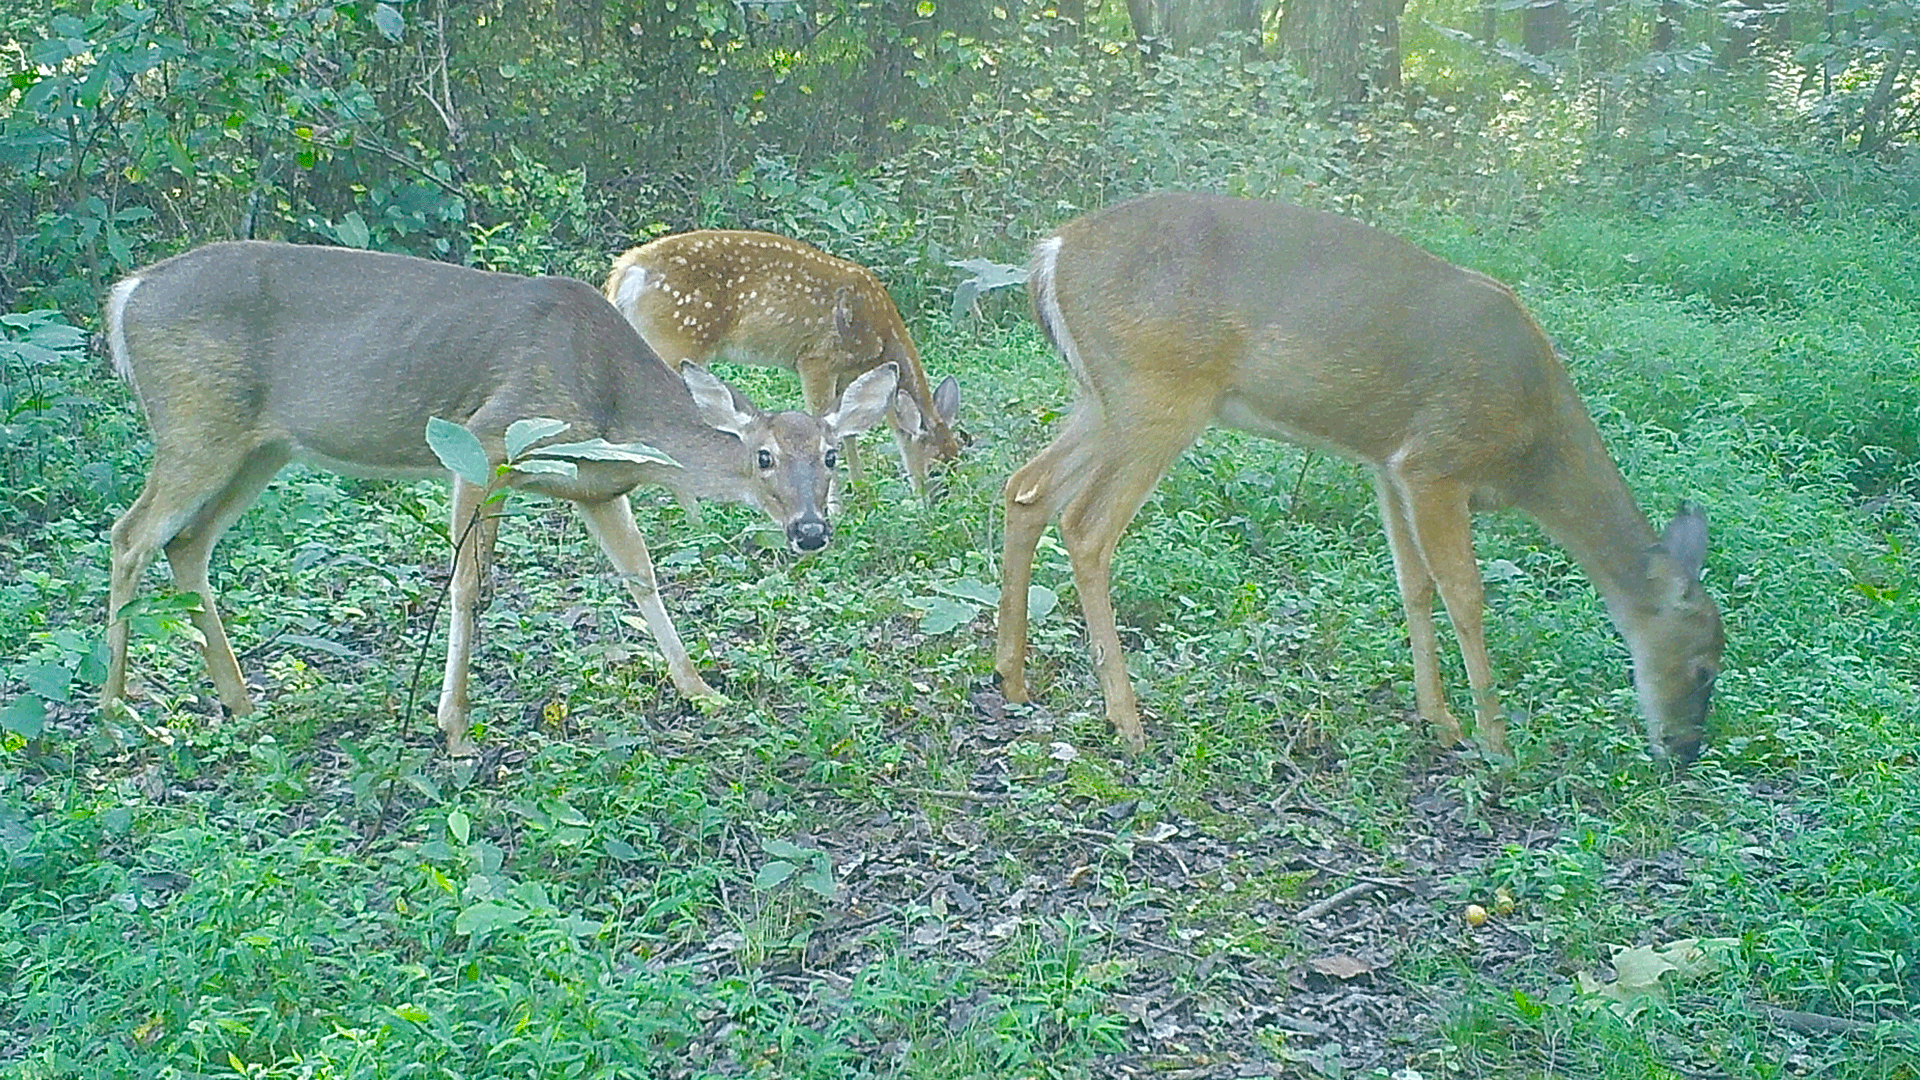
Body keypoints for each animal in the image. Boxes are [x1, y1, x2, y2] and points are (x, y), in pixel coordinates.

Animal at [101, 240, 899, 756]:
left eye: (830, 457)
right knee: (130, 533)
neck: (611, 405)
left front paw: (700, 688)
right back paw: (119, 711)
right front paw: (452, 725)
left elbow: (641, 576)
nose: (810, 531)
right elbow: (467, 587)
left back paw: (239, 702)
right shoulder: (486, 446)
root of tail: (125, 295)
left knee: (186, 544)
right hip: (197, 421)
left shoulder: (594, 486)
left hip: (260, 447)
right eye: (764, 457)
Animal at [604, 230, 961, 499]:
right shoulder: (817, 358)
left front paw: (861, 491)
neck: (882, 338)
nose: (934, 505)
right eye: (937, 468)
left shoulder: (846, 375)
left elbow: (848, 431)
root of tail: (627, 272)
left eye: (957, 458)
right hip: (673, 338)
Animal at [995, 192, 1725, 763]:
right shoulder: (1437, 459)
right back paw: (1126, 719)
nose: (1685, 751)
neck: (1532, 450)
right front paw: (1494, 739)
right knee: (1085, 526)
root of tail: (1052, 250)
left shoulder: (1389, 465)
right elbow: (1465, 594)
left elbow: (1414, 586)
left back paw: (1011, 677)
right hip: (1158, 392)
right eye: (1705, 669)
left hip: (1104, 397)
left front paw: (1440, 719)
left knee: (1026, 488)